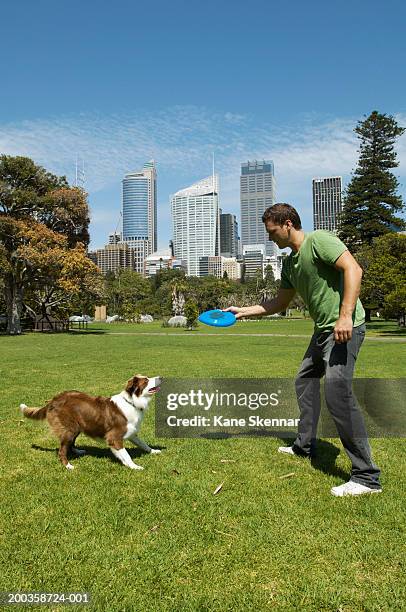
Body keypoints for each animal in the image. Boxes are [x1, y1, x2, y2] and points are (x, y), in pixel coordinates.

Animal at [19, 376, 162, 470]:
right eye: (146, 380)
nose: (160, 377)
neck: (132, 402)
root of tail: (54, 399)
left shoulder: (132, 433)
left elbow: (143, 444)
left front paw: (154, 451)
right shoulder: (114, 437)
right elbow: (126, 454)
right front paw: (134, 466)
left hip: (77, 426)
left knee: (70, 444)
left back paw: (78, 451)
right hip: (69, 428)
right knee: (62, 450)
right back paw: (68, 466)